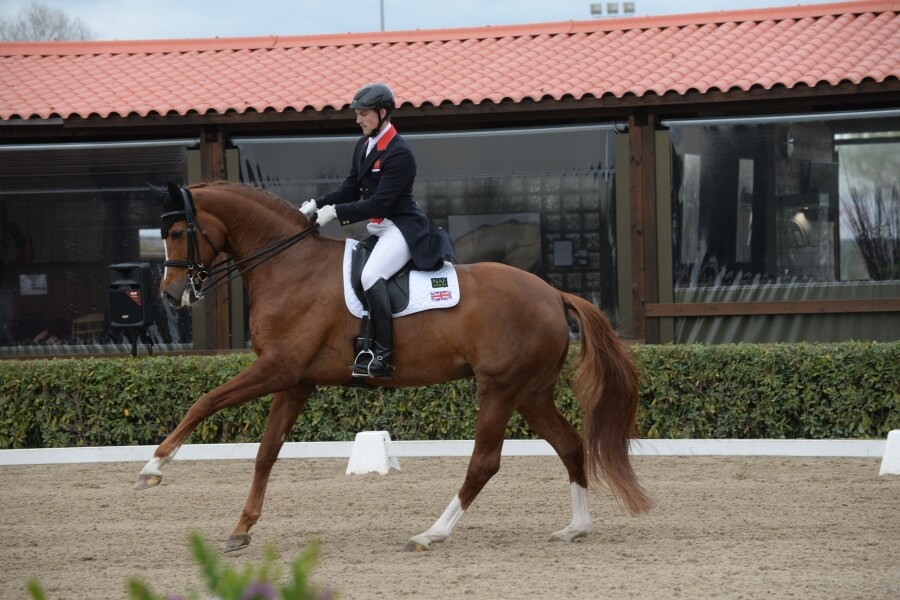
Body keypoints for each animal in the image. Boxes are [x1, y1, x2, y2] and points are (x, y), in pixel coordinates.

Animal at [136, 180, 652, 552]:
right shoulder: (295, 381)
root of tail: (552, 292)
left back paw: (431, 534)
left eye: (178, 233)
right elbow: (266, 454)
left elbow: (205, 401)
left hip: (500, 390)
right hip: (531, 394)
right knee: (570, 446)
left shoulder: (277, 368)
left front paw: (154, 466)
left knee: (484, 463)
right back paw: (576, 528)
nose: (171, 296)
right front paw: (242, 529)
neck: (289, 266)